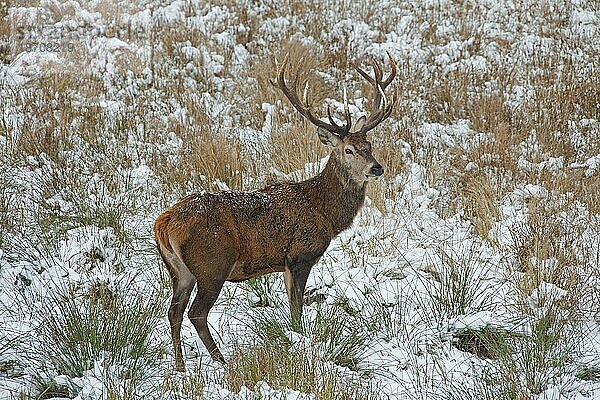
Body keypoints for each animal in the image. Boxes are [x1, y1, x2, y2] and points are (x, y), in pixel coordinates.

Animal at [155, 54, 396, 368]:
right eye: (348, 150)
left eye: (369, 145)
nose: (376, 168)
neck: (324, 212)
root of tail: (164, 224)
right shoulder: (300, 255)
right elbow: (296, 308)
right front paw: (300, 342)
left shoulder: (284, 264)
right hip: (212, 264)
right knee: (196, 312)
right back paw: (222, 362)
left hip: (179, 270)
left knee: (174, 311)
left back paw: (181, 367)